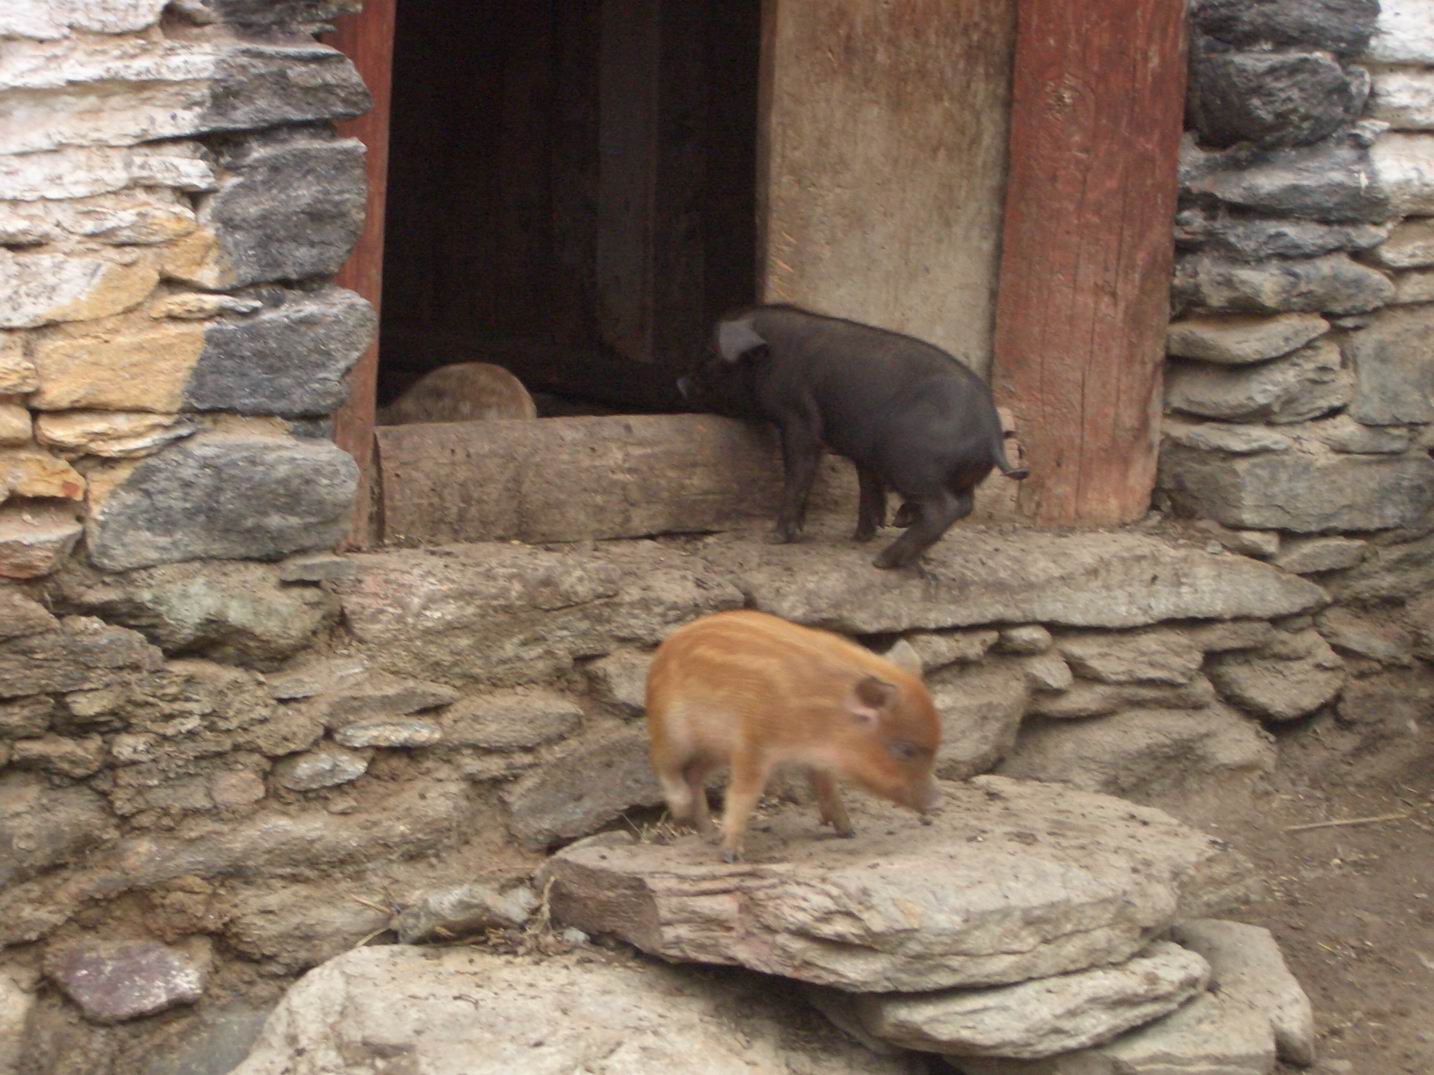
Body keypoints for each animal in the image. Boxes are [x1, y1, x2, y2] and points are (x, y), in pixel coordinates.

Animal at [645, 609, 941, 862]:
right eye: (904, 749)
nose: (938, 805)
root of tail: (661, 653)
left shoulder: (815, 758)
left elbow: (828, 786)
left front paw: (848, 831)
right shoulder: (752, 742)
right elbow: (744, 794)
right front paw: (730, 855)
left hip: (713, 747)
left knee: (694, 774)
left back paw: (706, 831)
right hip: (672, 731)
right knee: (663, 765)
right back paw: (684, 811)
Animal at [678, 304, 1028, 569]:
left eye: (710, 354)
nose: (680, 383)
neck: (771, 356)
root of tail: (992, 435)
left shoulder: (800, 419)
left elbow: (799, 469)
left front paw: (776, 538)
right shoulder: (861, 451)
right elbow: (866, 484)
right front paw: (861, 535)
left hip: (908, 459)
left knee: (945, 508)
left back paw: (883, 561)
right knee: (964, 505)